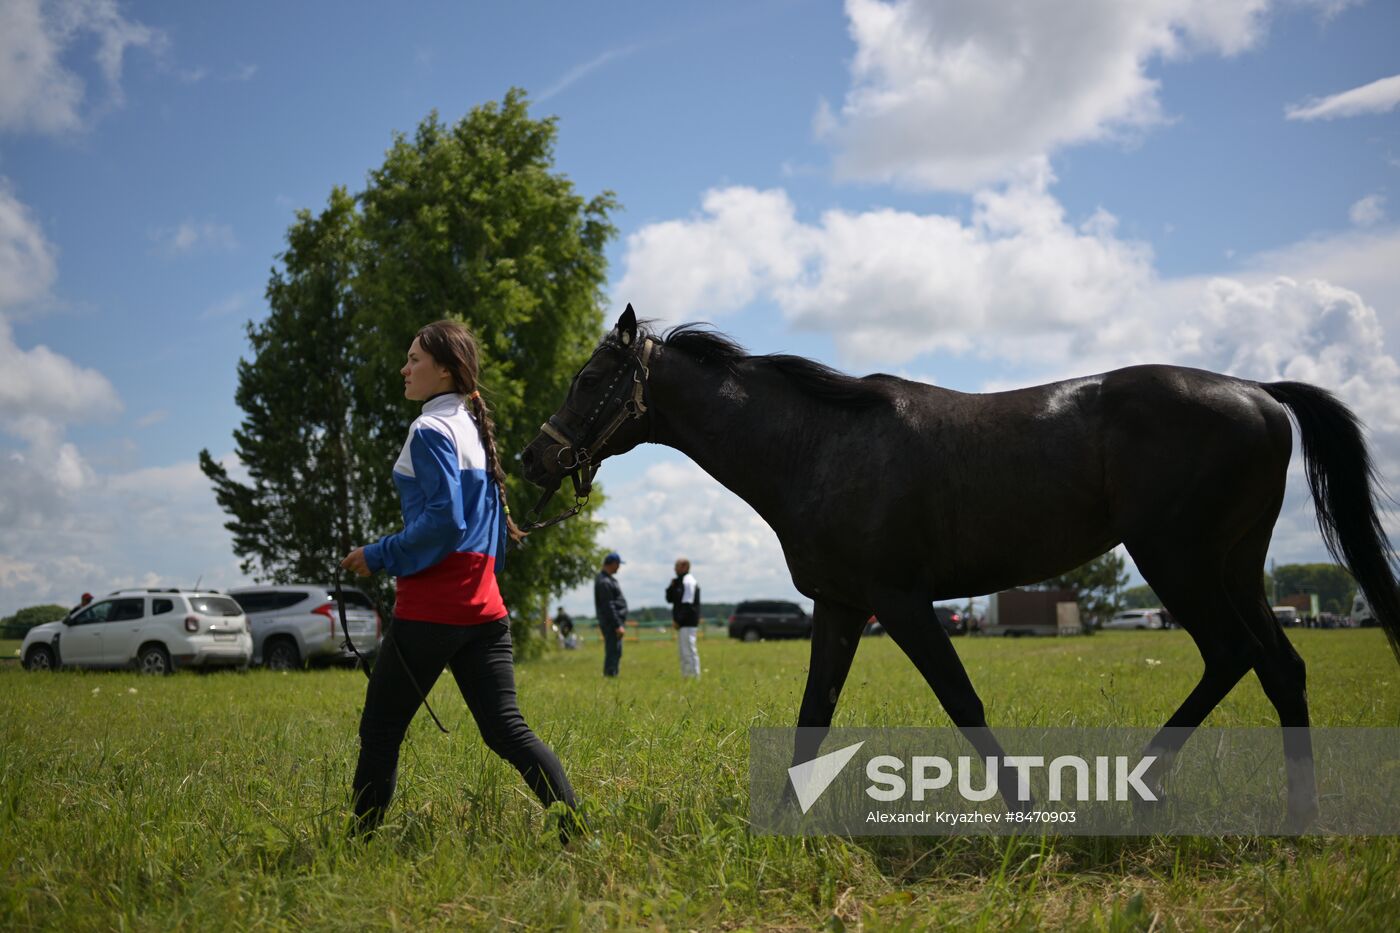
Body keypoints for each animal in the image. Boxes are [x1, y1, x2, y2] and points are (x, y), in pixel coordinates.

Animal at [520, 303, 1394, 823]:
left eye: (589, 378)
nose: (534, 457)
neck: (819, 444)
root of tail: (1257, 389)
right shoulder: (843, 606)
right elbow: (812, 713)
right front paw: (784, 818)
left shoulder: (902, 602)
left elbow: (963, 701)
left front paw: (1025, 812)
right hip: (1235, 567)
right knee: (1279, 667)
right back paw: (1298, 815)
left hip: (1179, 561)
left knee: (1233, 655)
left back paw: (1141, 786)